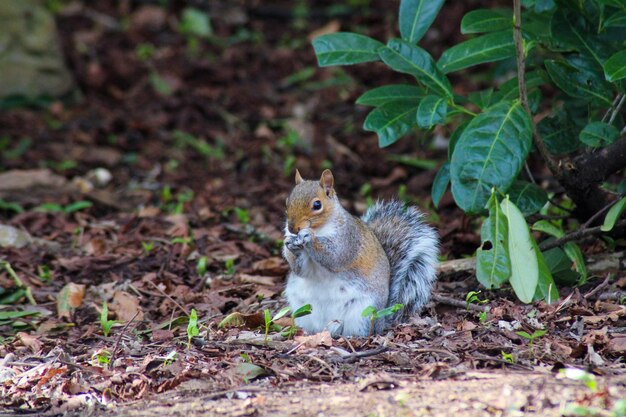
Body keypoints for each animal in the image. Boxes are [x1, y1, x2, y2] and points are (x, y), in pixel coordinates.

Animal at [280, 168, 436, 334]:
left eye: (317, 205)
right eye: (287, 201)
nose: (292, 228)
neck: (319, 229)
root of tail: (382, 321)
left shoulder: (348, 239)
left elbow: (335, 257)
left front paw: (308, 236)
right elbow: (301, 270)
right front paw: (290, 244)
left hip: (363, 313)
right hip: (303, 308)